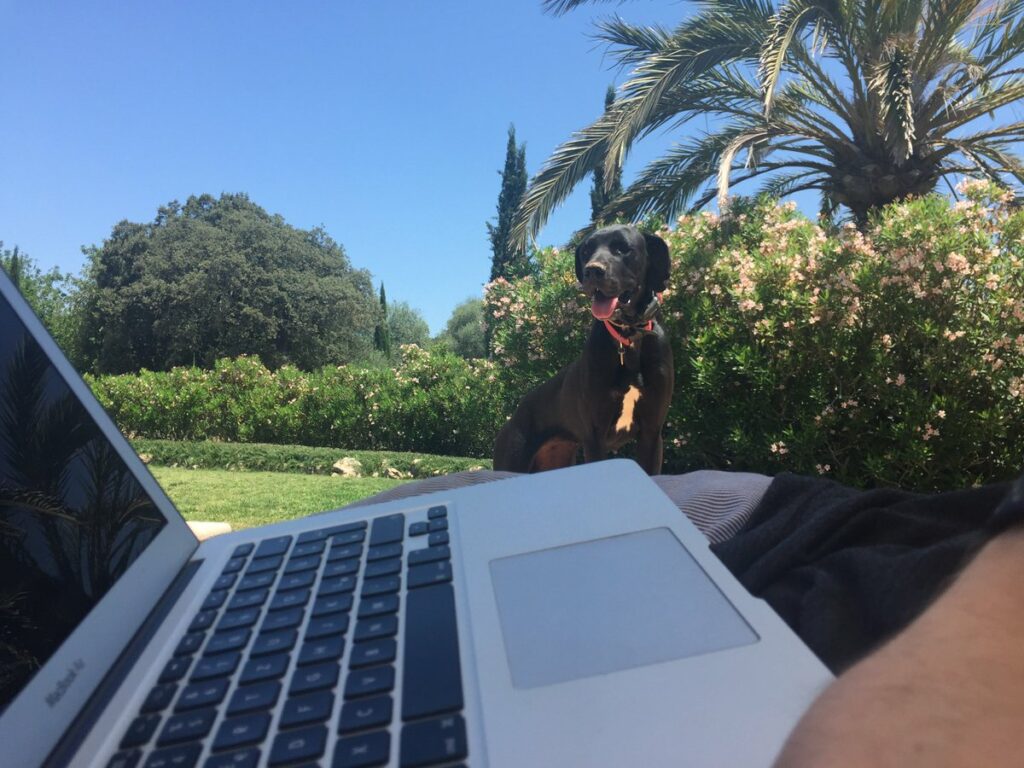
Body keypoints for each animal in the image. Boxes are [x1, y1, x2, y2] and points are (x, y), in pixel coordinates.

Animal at [493, 224, 675, 475]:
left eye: (622, 248)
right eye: (586, 252)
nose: (592, 271)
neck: (628, 337)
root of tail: (515, 415)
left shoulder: (652, 433)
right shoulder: (595, 435)